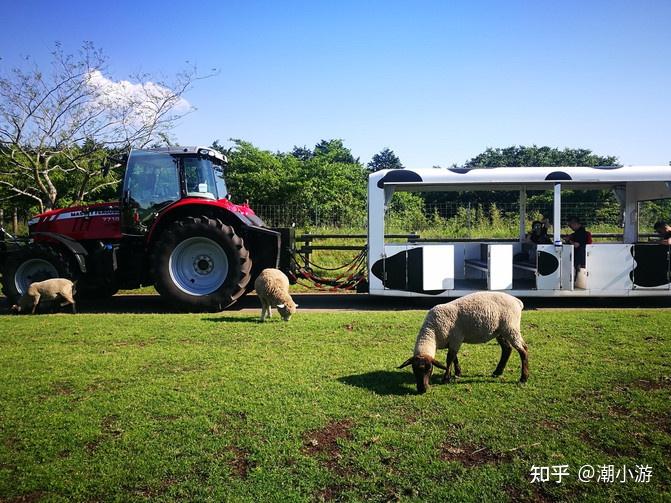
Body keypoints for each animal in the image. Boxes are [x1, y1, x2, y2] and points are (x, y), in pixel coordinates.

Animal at [400, 292, 532, 394]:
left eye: (429, 369)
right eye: (414, 369)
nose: (422, 389)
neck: (432, 332)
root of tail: (517, 301)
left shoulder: (456, 338)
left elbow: (449, 359)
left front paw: (446, 378)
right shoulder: (453, 340)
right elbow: (454, 358)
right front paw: (458, 372)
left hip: (511, 327)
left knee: (523, 350)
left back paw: (523, 378)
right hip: (500, 331)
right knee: (507, 349)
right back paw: (497, 372)